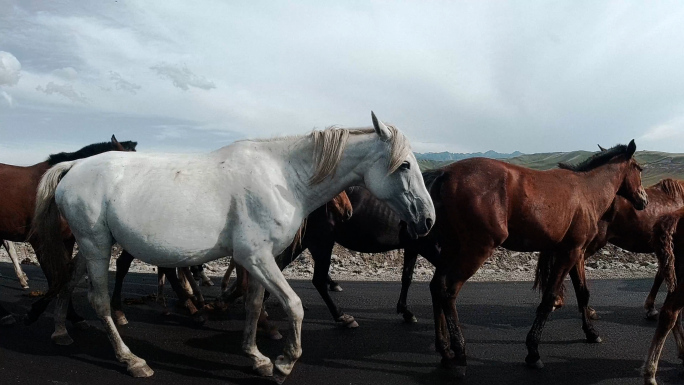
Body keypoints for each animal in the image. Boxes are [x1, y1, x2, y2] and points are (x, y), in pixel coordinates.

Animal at [0, 136, 138, 328]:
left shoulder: (67, 240)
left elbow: (66, 277)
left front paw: (71, 315)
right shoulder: (42, 241)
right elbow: (57, 277)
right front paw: (35, 312)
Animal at [32, 112, 436, 382]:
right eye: (404, 165)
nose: (428, 219)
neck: (283, 179)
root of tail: (73, 168)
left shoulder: (260, 261)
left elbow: (255, 305)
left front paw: (257, 357)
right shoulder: (254, 257)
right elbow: (294, 305)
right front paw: (284, 363)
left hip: (92, 247)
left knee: (67, 282)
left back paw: (60, 331)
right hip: (97, 246)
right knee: (99, 301)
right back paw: (131, 360)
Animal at [428, 140, 648, 376]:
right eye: (639, 168)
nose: (644, 199)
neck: (587, 191)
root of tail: (445, 173)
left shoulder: (576, 253)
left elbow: (583, 293)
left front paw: (591, 333)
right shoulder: (568, 253)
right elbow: (549, 297)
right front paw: (533, 351)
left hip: (451, 248)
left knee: (437, 287)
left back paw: (444, 350)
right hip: (476, 249)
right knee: (449, 293)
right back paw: (459, 354)